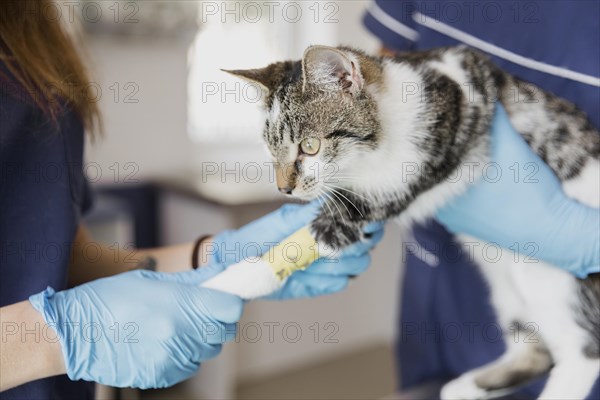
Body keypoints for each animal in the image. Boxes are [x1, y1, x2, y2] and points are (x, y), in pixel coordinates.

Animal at [203, 45, 600, 398]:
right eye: (272, 151)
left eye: (310, 147)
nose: (283, 188)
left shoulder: (443, 137)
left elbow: (336, 224)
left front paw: (234, 280)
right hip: (507, 292)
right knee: (537, 352)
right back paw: (466, 387)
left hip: (554, 281)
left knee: (583, 351)